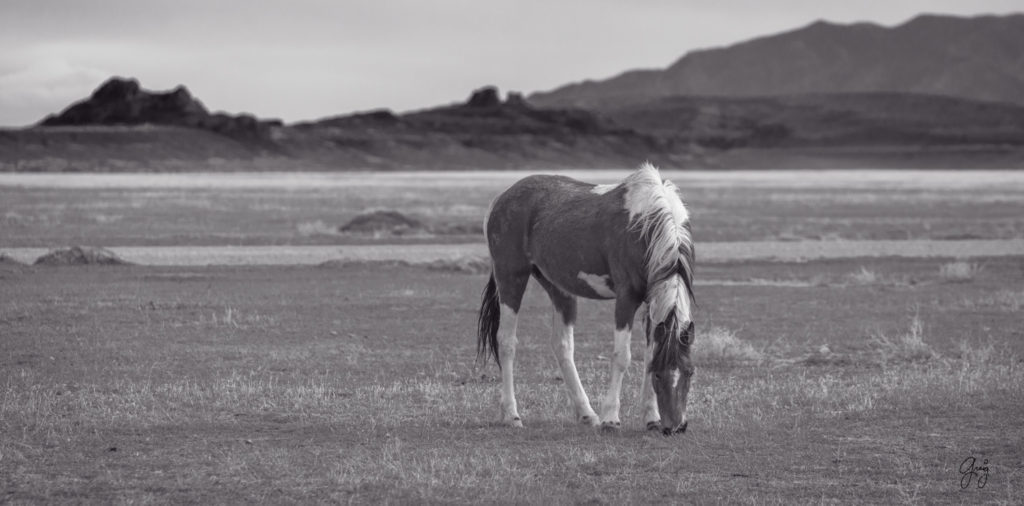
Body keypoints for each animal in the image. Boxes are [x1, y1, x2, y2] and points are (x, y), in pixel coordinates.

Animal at [477, 162, 695, 434]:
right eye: (658, 375)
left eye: (690, 372)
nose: (675, 427)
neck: (646, 224)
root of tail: (502, 198)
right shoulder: (626, 299)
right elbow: (622, 356)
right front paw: (611, 418)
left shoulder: (652, 303)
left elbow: (649, 354)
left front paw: (651, 417)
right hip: (511, 278)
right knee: (506, 342)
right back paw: (511, 415)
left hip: (558, 287)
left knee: (562, 346)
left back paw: (586, 413)